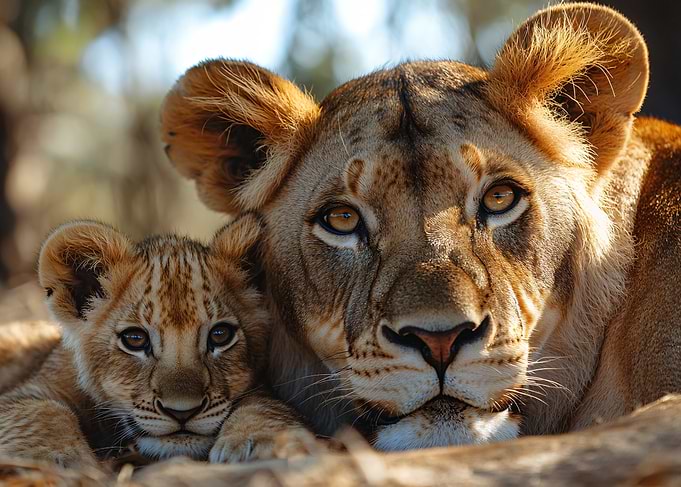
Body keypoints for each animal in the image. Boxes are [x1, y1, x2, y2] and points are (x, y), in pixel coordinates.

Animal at [0, 215, 315, 468]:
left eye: (220, 335)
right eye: (135, 339)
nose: (182, 412)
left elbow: (264, 402)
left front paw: (264, 441)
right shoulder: (30, 388)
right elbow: (39, 411)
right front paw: (56, 459)